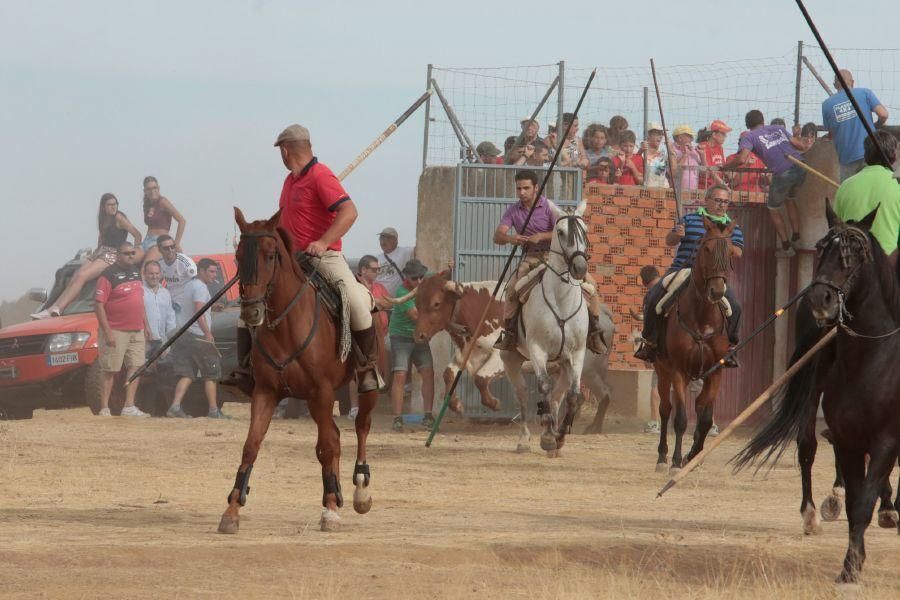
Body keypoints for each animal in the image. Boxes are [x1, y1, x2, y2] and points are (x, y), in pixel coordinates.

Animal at [218, 207, 380, 536]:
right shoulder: (266, 393)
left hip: (361, 386)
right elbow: (251, 446)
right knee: (335, 436)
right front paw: (232, 509)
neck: (286, 326)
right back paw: (338, 492)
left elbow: (326, 448)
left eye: (270, 255)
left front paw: (330, 511)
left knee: (360, 427)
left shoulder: (322, 392)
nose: (251, 311)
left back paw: (359, 492)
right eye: (238, 256)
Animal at [500, 199, 592, 458]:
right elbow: (543, 386)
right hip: (511, 361)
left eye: (585, 231)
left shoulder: (577, 353)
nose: (579, 267)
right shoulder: (537, 350)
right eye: (560, 232)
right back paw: (525, 439)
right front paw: (549, 437)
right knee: (523, 396)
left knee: (560, 396)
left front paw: (559, 437)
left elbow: (573, 395)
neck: (561, 302)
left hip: (563, 364)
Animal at [652, 218, 740, 476]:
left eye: (730, 252)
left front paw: (693, 455)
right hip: (662, 370)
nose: (717, 291)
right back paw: (662, 457)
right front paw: (675, 462)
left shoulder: (716, 371)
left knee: (700, 407)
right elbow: (681, 418)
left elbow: (706, 418)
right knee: (665, 409)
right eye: (706, 248)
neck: (702, 316)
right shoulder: (678, 370)